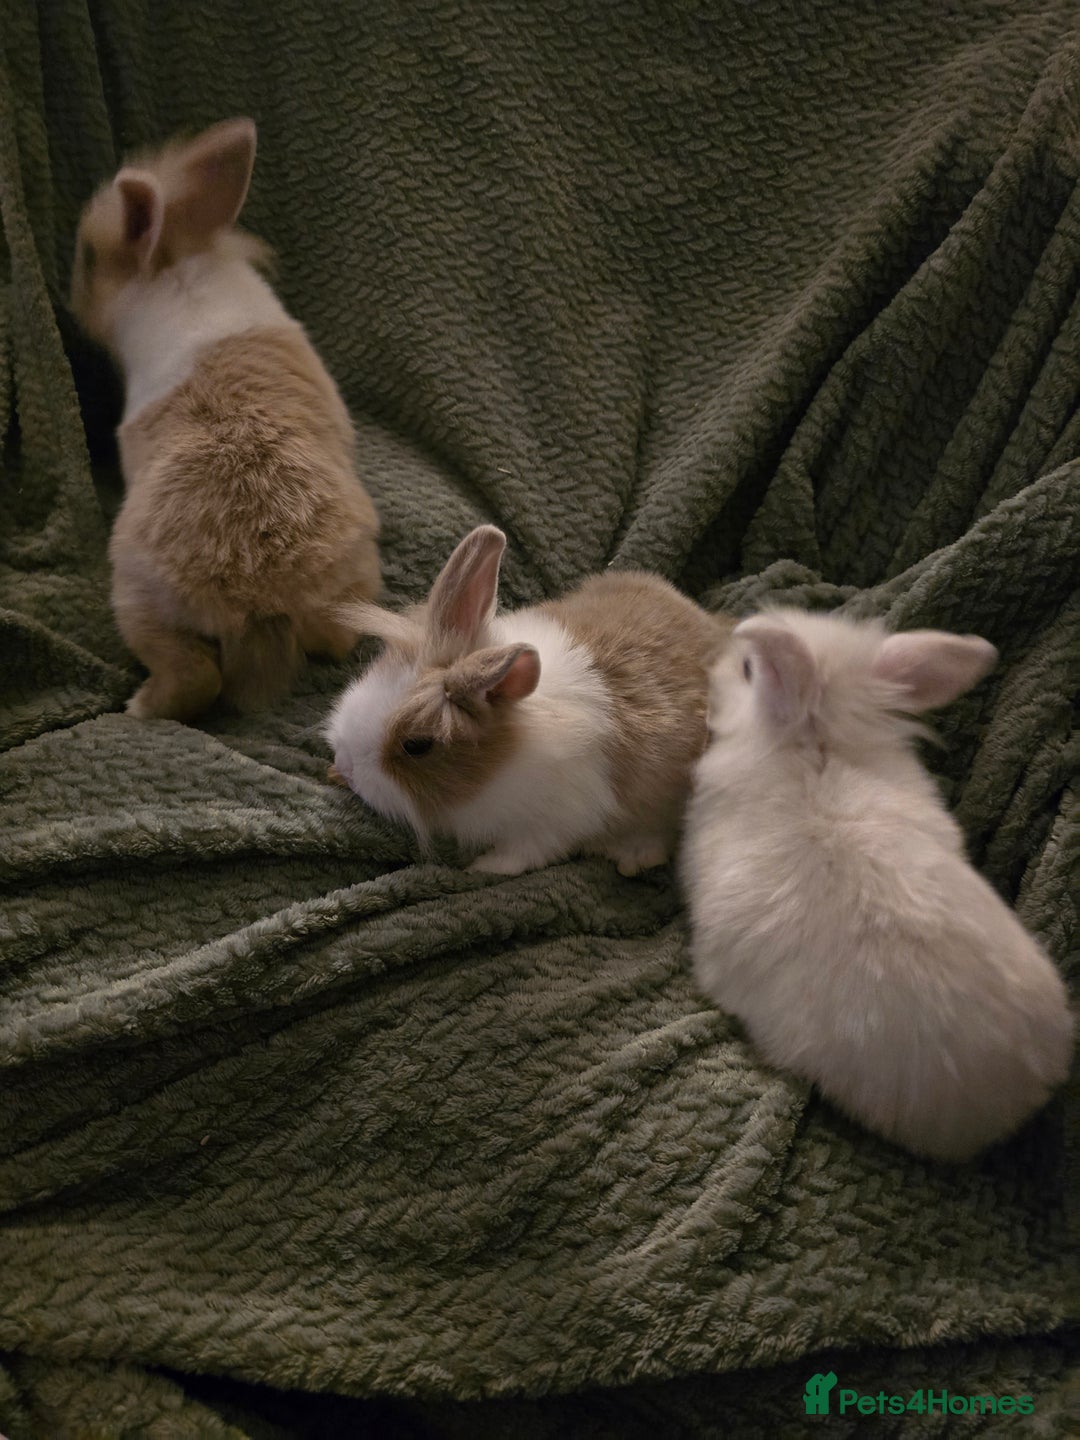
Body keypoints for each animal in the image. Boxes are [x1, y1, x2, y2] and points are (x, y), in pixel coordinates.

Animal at [69, 117, 380, 720]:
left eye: (90, 258)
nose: (71, 302)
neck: (175, 268)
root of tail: (261, 598)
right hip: (356, 581)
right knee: (336, 639)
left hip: (136, 596)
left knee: (193, 678)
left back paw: (139, 706)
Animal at [325, 524, 733, 877]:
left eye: (416, 746)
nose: (345, 766)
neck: (502, 758)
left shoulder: (551, 824)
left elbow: (521, 855)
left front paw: (481, 867)